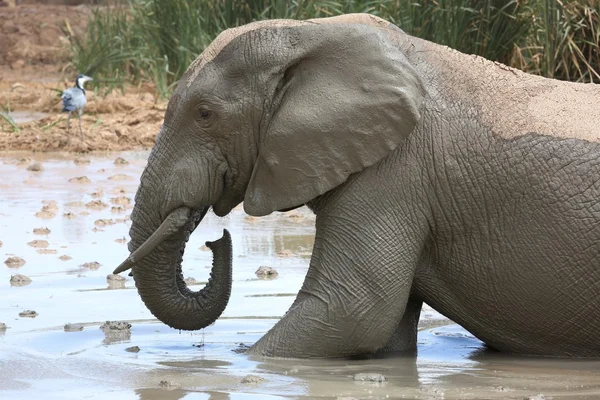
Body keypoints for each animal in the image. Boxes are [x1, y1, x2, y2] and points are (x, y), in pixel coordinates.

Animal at [112, 13, 600, 360]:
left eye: (205, 114)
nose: (217, 240)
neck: (311, 34)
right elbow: (384, 336)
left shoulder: (396, 171)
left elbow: (350, 310)